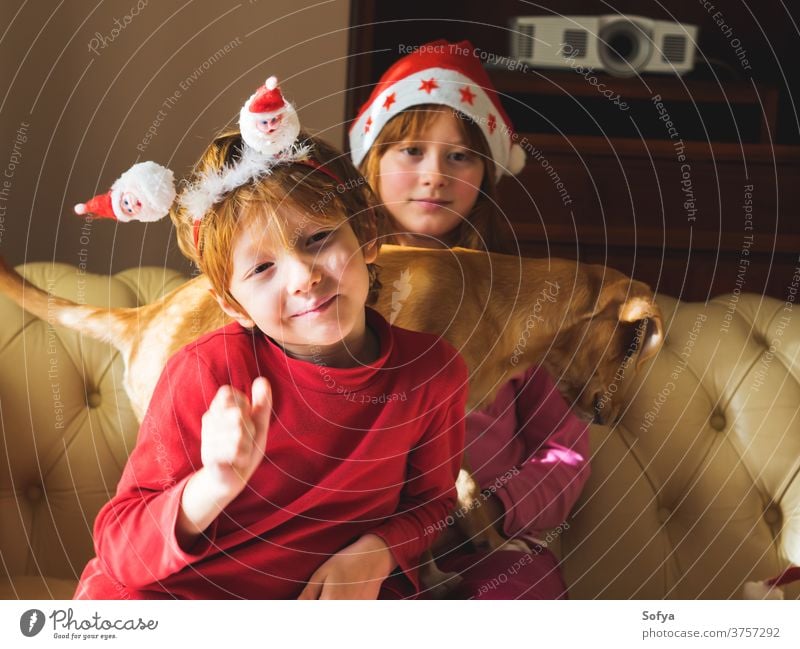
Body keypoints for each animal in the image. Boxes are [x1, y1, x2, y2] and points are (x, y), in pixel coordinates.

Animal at [0, 248, 664, 592]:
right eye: (632, 347)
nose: (613, 417)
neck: (499, 302)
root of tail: (144, 316)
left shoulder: (444, 433)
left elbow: (461, 490)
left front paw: (488, 543)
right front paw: (434, 575)